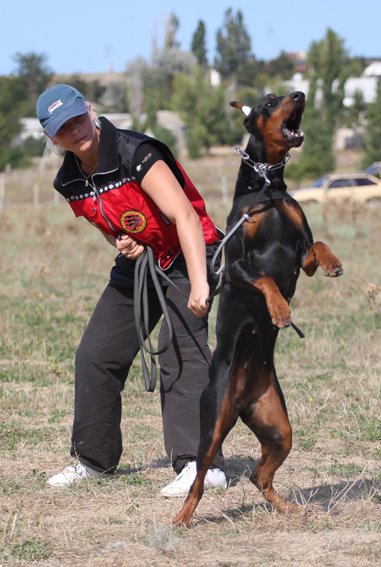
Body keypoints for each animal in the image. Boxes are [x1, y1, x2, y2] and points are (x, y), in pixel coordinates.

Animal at [172, 90, 342, 528]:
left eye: (284, 93)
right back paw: (181, 518)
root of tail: (243, 397)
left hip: (278, 427)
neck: (267, 188)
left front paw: (334, 263)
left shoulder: (301, 251)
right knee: (200, 479)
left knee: (258, 474)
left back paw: (288, 508)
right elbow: (265, 280)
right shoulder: (233, 265)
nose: (299, 93)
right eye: (269, 100)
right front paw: (279, 311)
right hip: (214, 423)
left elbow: (317, 246)